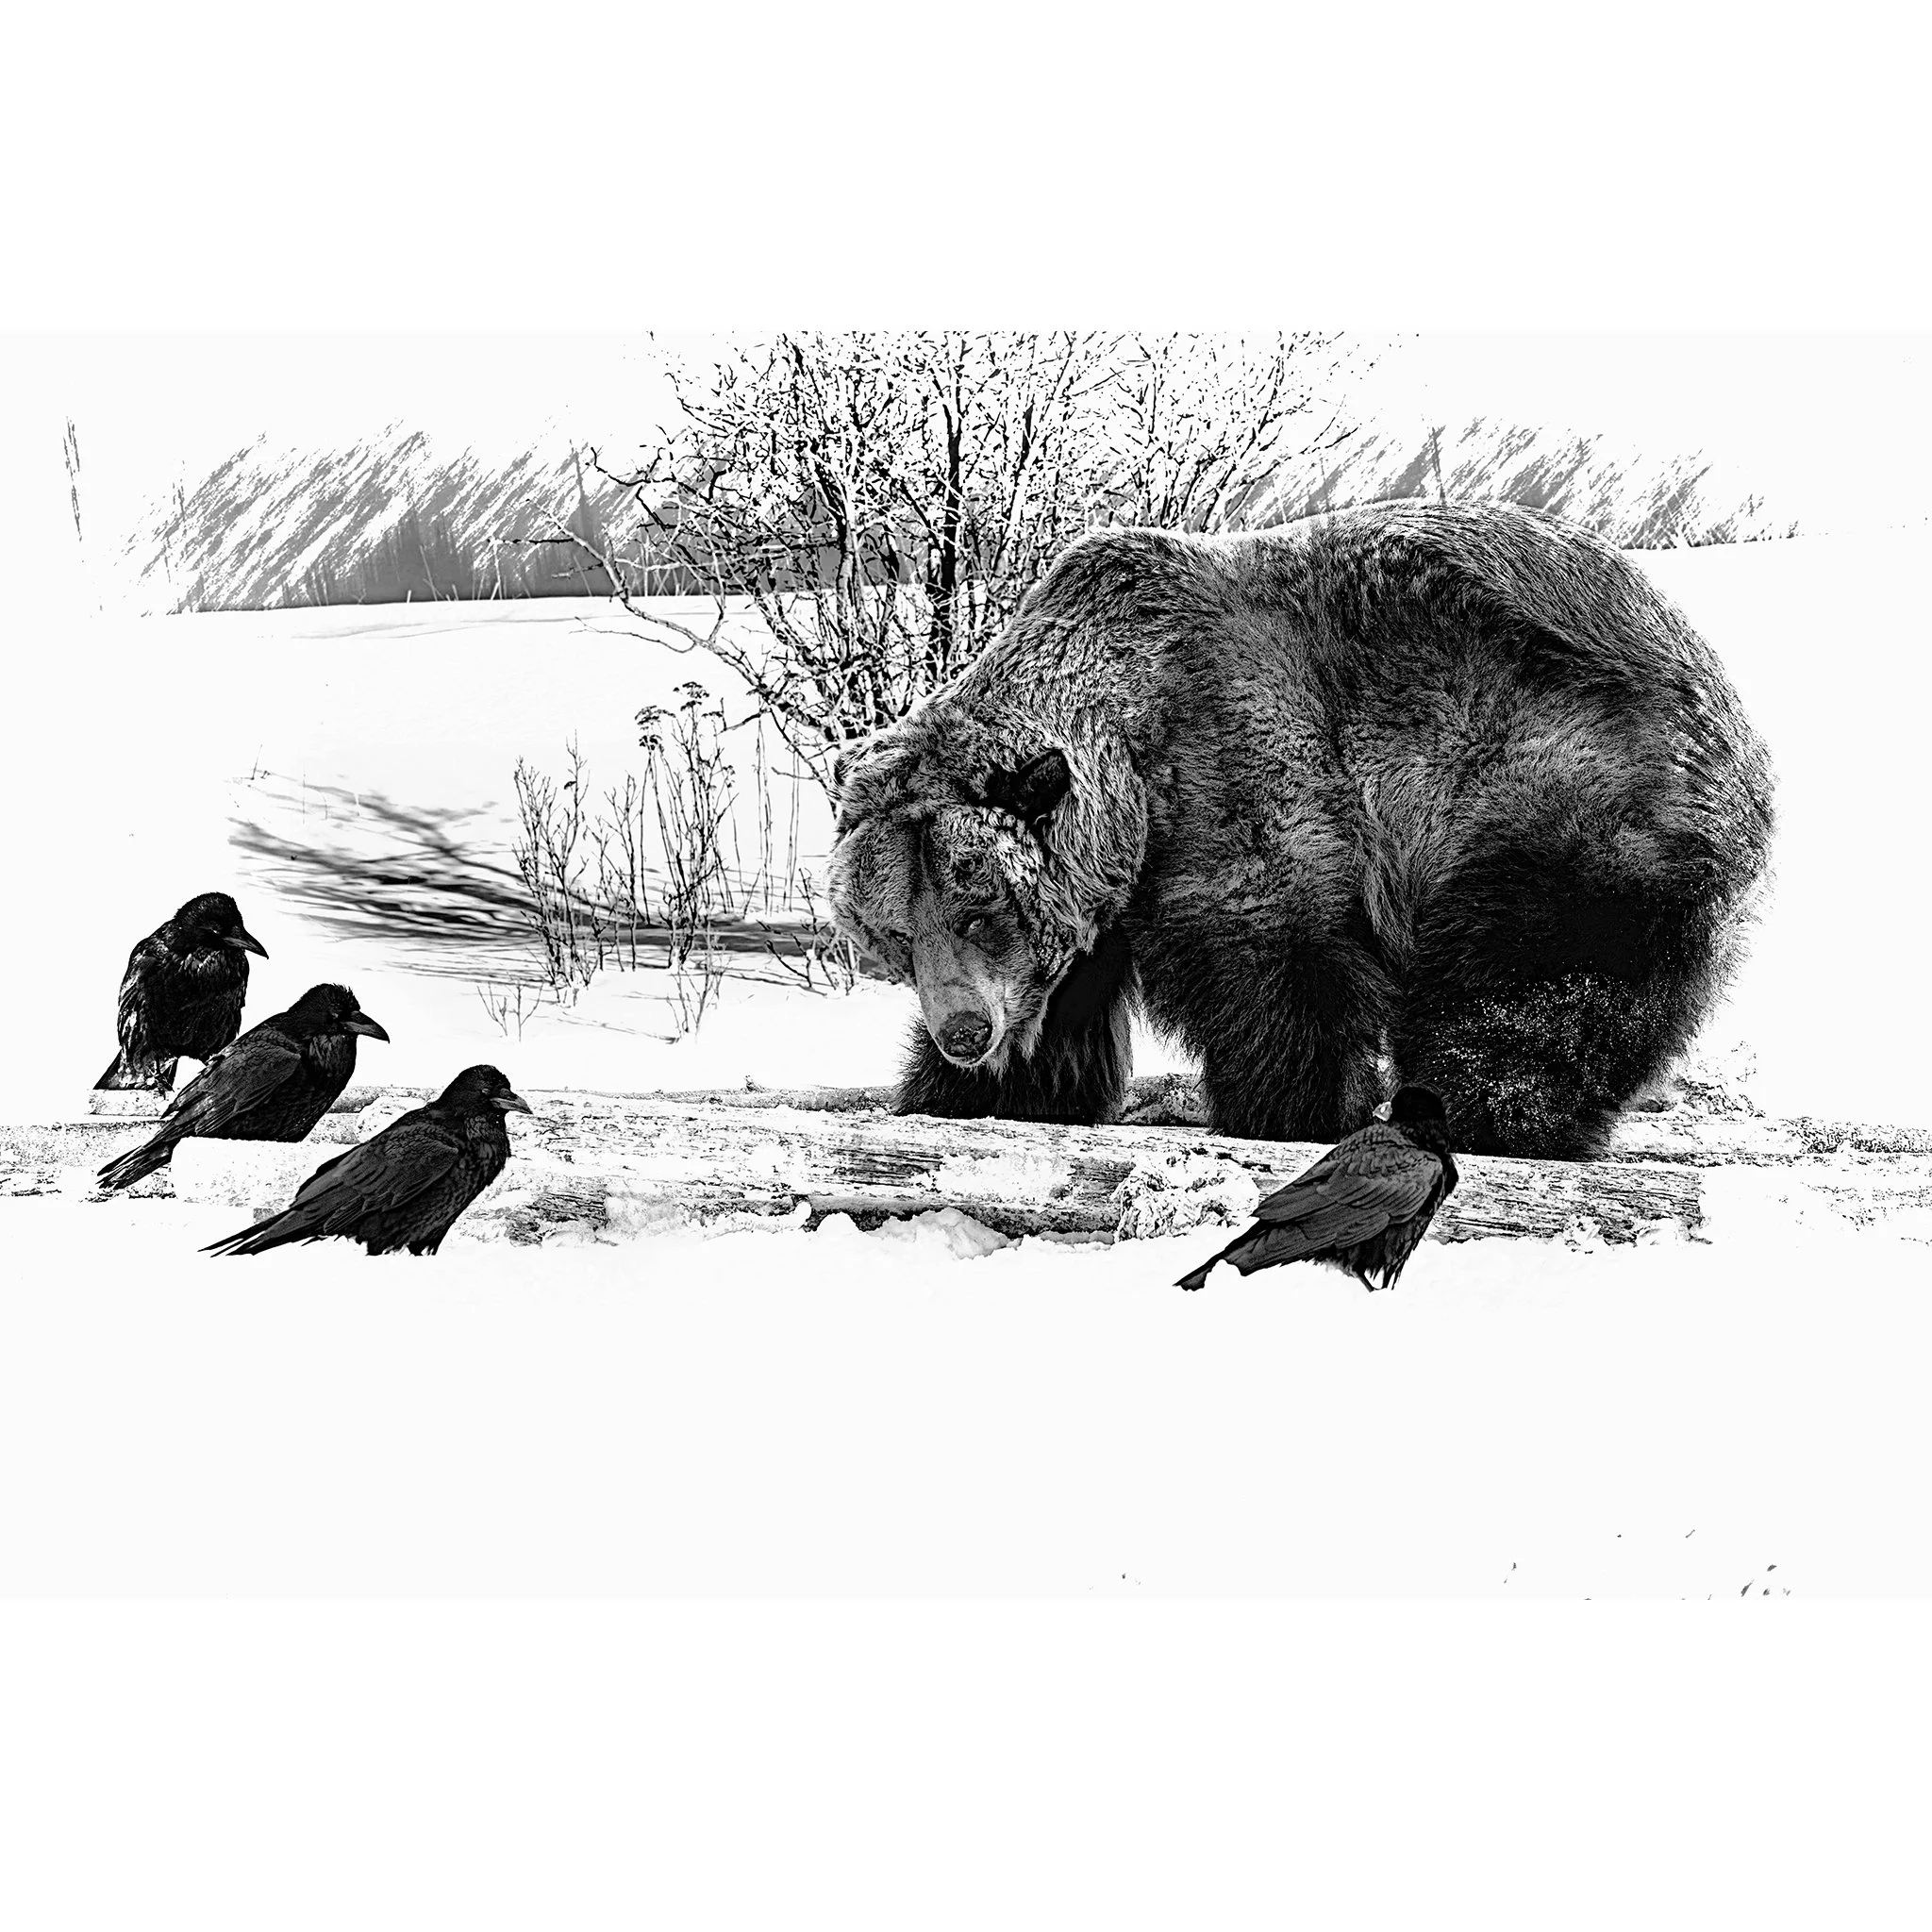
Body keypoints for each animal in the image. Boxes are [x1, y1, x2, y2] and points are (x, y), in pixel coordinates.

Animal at [826, 499, 1775, 1160]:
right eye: (894, 934)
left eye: (978, 910)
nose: (963, 1032)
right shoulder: (1095, 901)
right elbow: (1061, 1012)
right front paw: (967, 1092)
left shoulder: (1238, 771)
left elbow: (1274, 964)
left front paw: (1286, 1111)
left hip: (1548, 791)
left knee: (1534, 981)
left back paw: (1493, 1112)